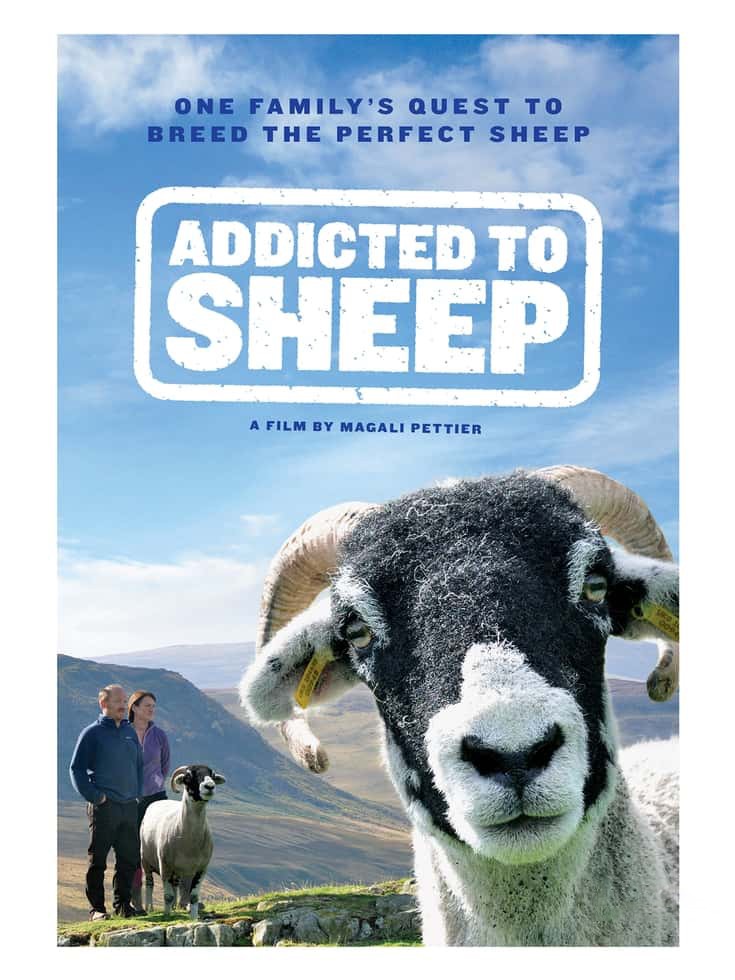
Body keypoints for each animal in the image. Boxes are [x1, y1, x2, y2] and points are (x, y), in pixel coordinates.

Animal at [140, 763, 225, 919]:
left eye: (212, 775)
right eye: (188, 776)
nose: (210, 786)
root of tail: (160, 801)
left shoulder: (201, 869)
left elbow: (194, 897)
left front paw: (194, 918)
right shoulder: (165, 866)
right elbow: (167, 896)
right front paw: (167, 916)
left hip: (177, 872)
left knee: (175, 886)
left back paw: (174, 908)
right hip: (145, 861)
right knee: (150, 884)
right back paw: (149, 907)